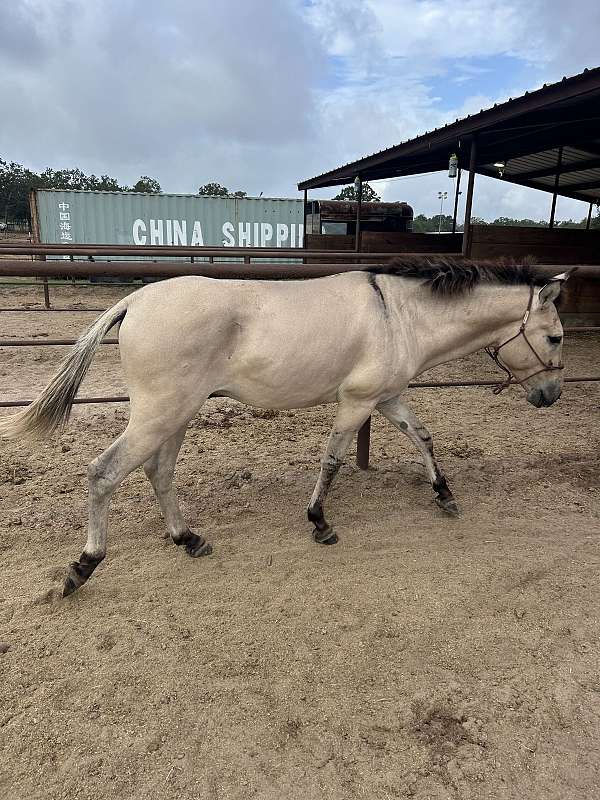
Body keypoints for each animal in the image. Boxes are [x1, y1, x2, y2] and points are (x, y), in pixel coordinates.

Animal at [0, 257, 567, 597]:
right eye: (556, 337)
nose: (551, 396)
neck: (398, 315)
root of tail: (134, 300)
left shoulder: (387, 399)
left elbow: (422, 436)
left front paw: (444, 494)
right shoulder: (358, 402)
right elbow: (333, 460)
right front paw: (319, 522)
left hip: (176, 414)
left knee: (159, 472)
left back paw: (188, 539)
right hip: (160, 413)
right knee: (104, 472)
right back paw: (83, 566)